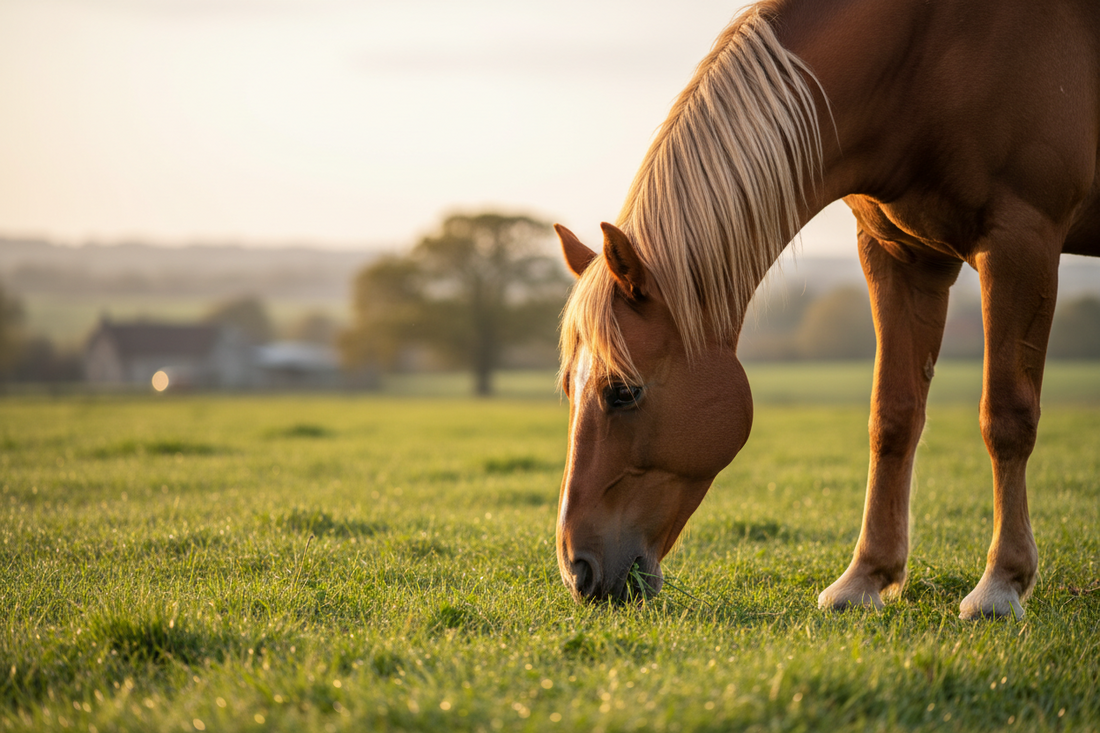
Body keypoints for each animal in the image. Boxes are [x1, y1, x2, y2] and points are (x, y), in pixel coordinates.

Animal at [553, 0, 1100, 619]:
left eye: (622, 392)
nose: (576, 570)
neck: (927, 57)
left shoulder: (1021, 239)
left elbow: (1006, 416)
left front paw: (1001, 584)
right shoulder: (898, 253)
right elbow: (893, 416)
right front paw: (864, 578)